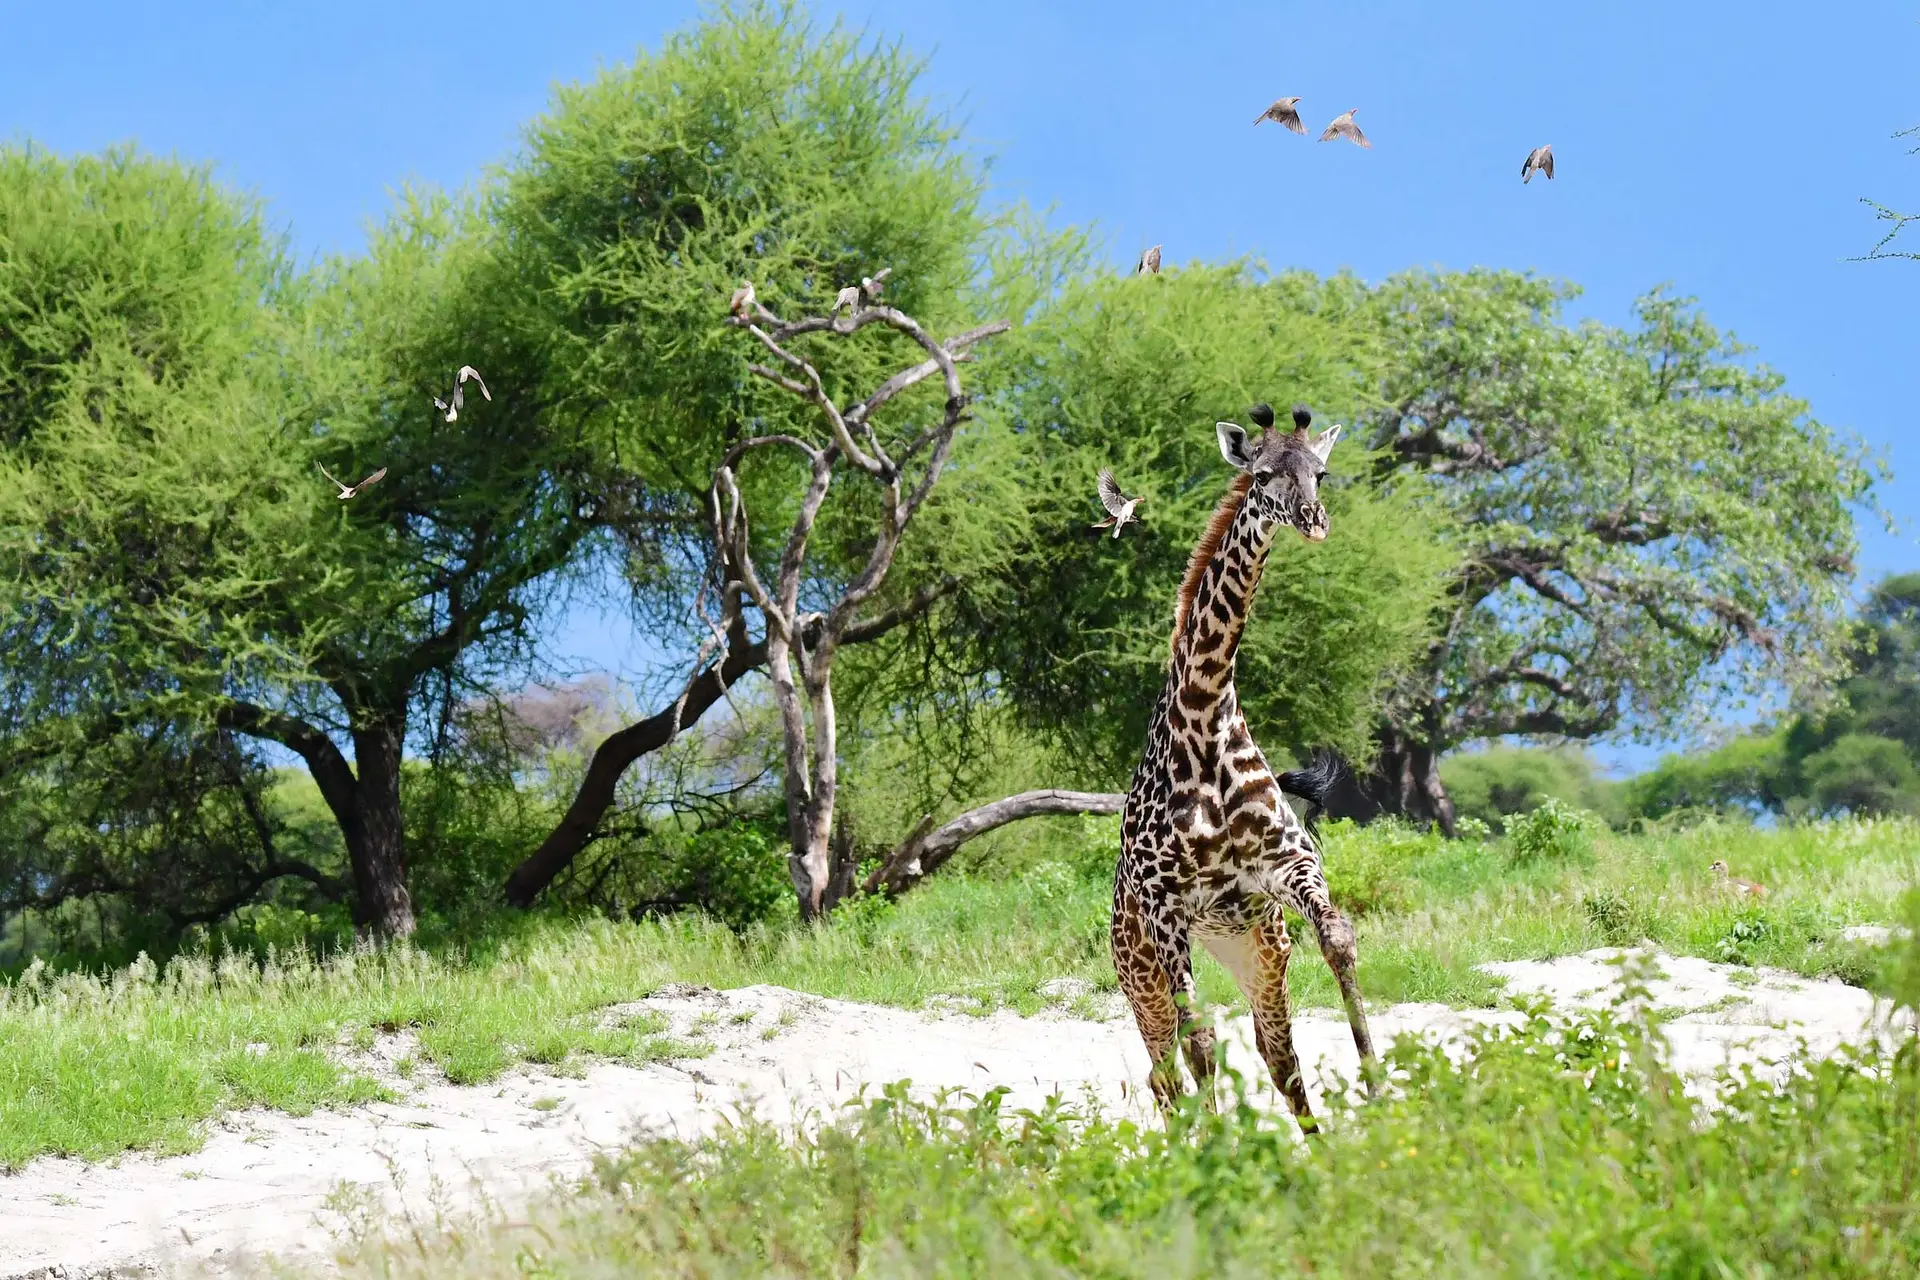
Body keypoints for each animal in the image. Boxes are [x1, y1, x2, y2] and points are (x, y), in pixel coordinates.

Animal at [1113, 401, 1382, 1128]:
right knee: (1165, 1070)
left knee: (1273, 1050)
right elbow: (1202, 1039)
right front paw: (1222, 1146)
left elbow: (1340, 941)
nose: (1313, 521)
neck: (1205, 713)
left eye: (1320, 472)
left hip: (1257, 949)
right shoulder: (1166, 905)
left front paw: (1380, 1087)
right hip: (1137, 969)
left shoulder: (1287, 867)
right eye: (1262, 476)